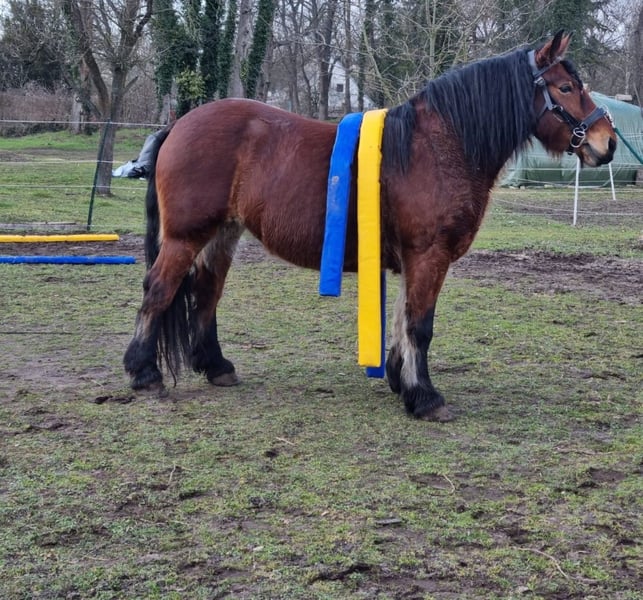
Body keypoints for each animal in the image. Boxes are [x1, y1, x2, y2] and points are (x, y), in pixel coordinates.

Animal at [124, 31, 616, 421]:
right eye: (566, 87)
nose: (606, 142)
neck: (439, 148)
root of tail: (178, 124)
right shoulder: (429, 255)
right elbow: (420, 325)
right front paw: (426, 398)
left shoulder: (411, 258)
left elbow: (402, 319)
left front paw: (401, 381)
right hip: (185, 237)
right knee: (159, 290)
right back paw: (144, 373)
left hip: (222, 234)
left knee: (206, 293)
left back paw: (217, 367)